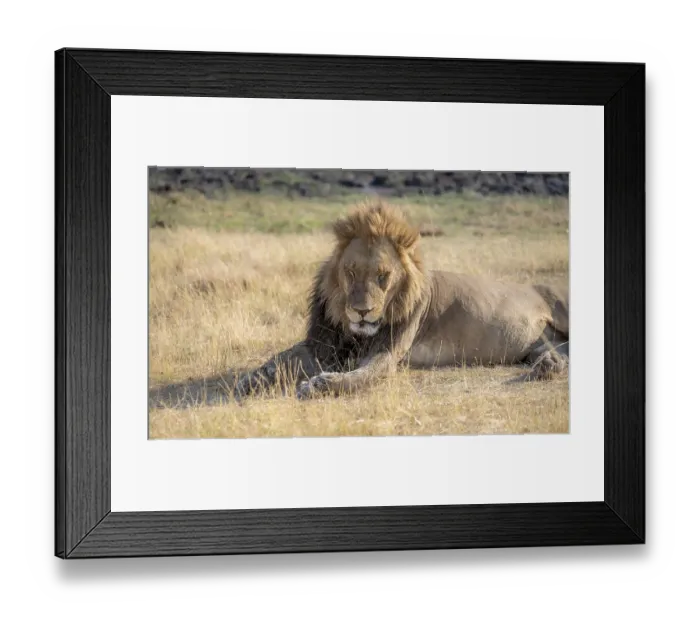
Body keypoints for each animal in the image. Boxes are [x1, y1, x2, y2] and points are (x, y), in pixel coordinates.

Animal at [234, 200, 569, 401]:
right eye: (350, 272)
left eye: (382, 276)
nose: (361, 312)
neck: (353, 331)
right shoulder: (323, 344)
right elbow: (277, 360)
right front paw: (248, 381)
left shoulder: (388, 350)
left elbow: (363, 376)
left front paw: (320, 384)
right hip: (538, 345)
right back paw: (548, 366)